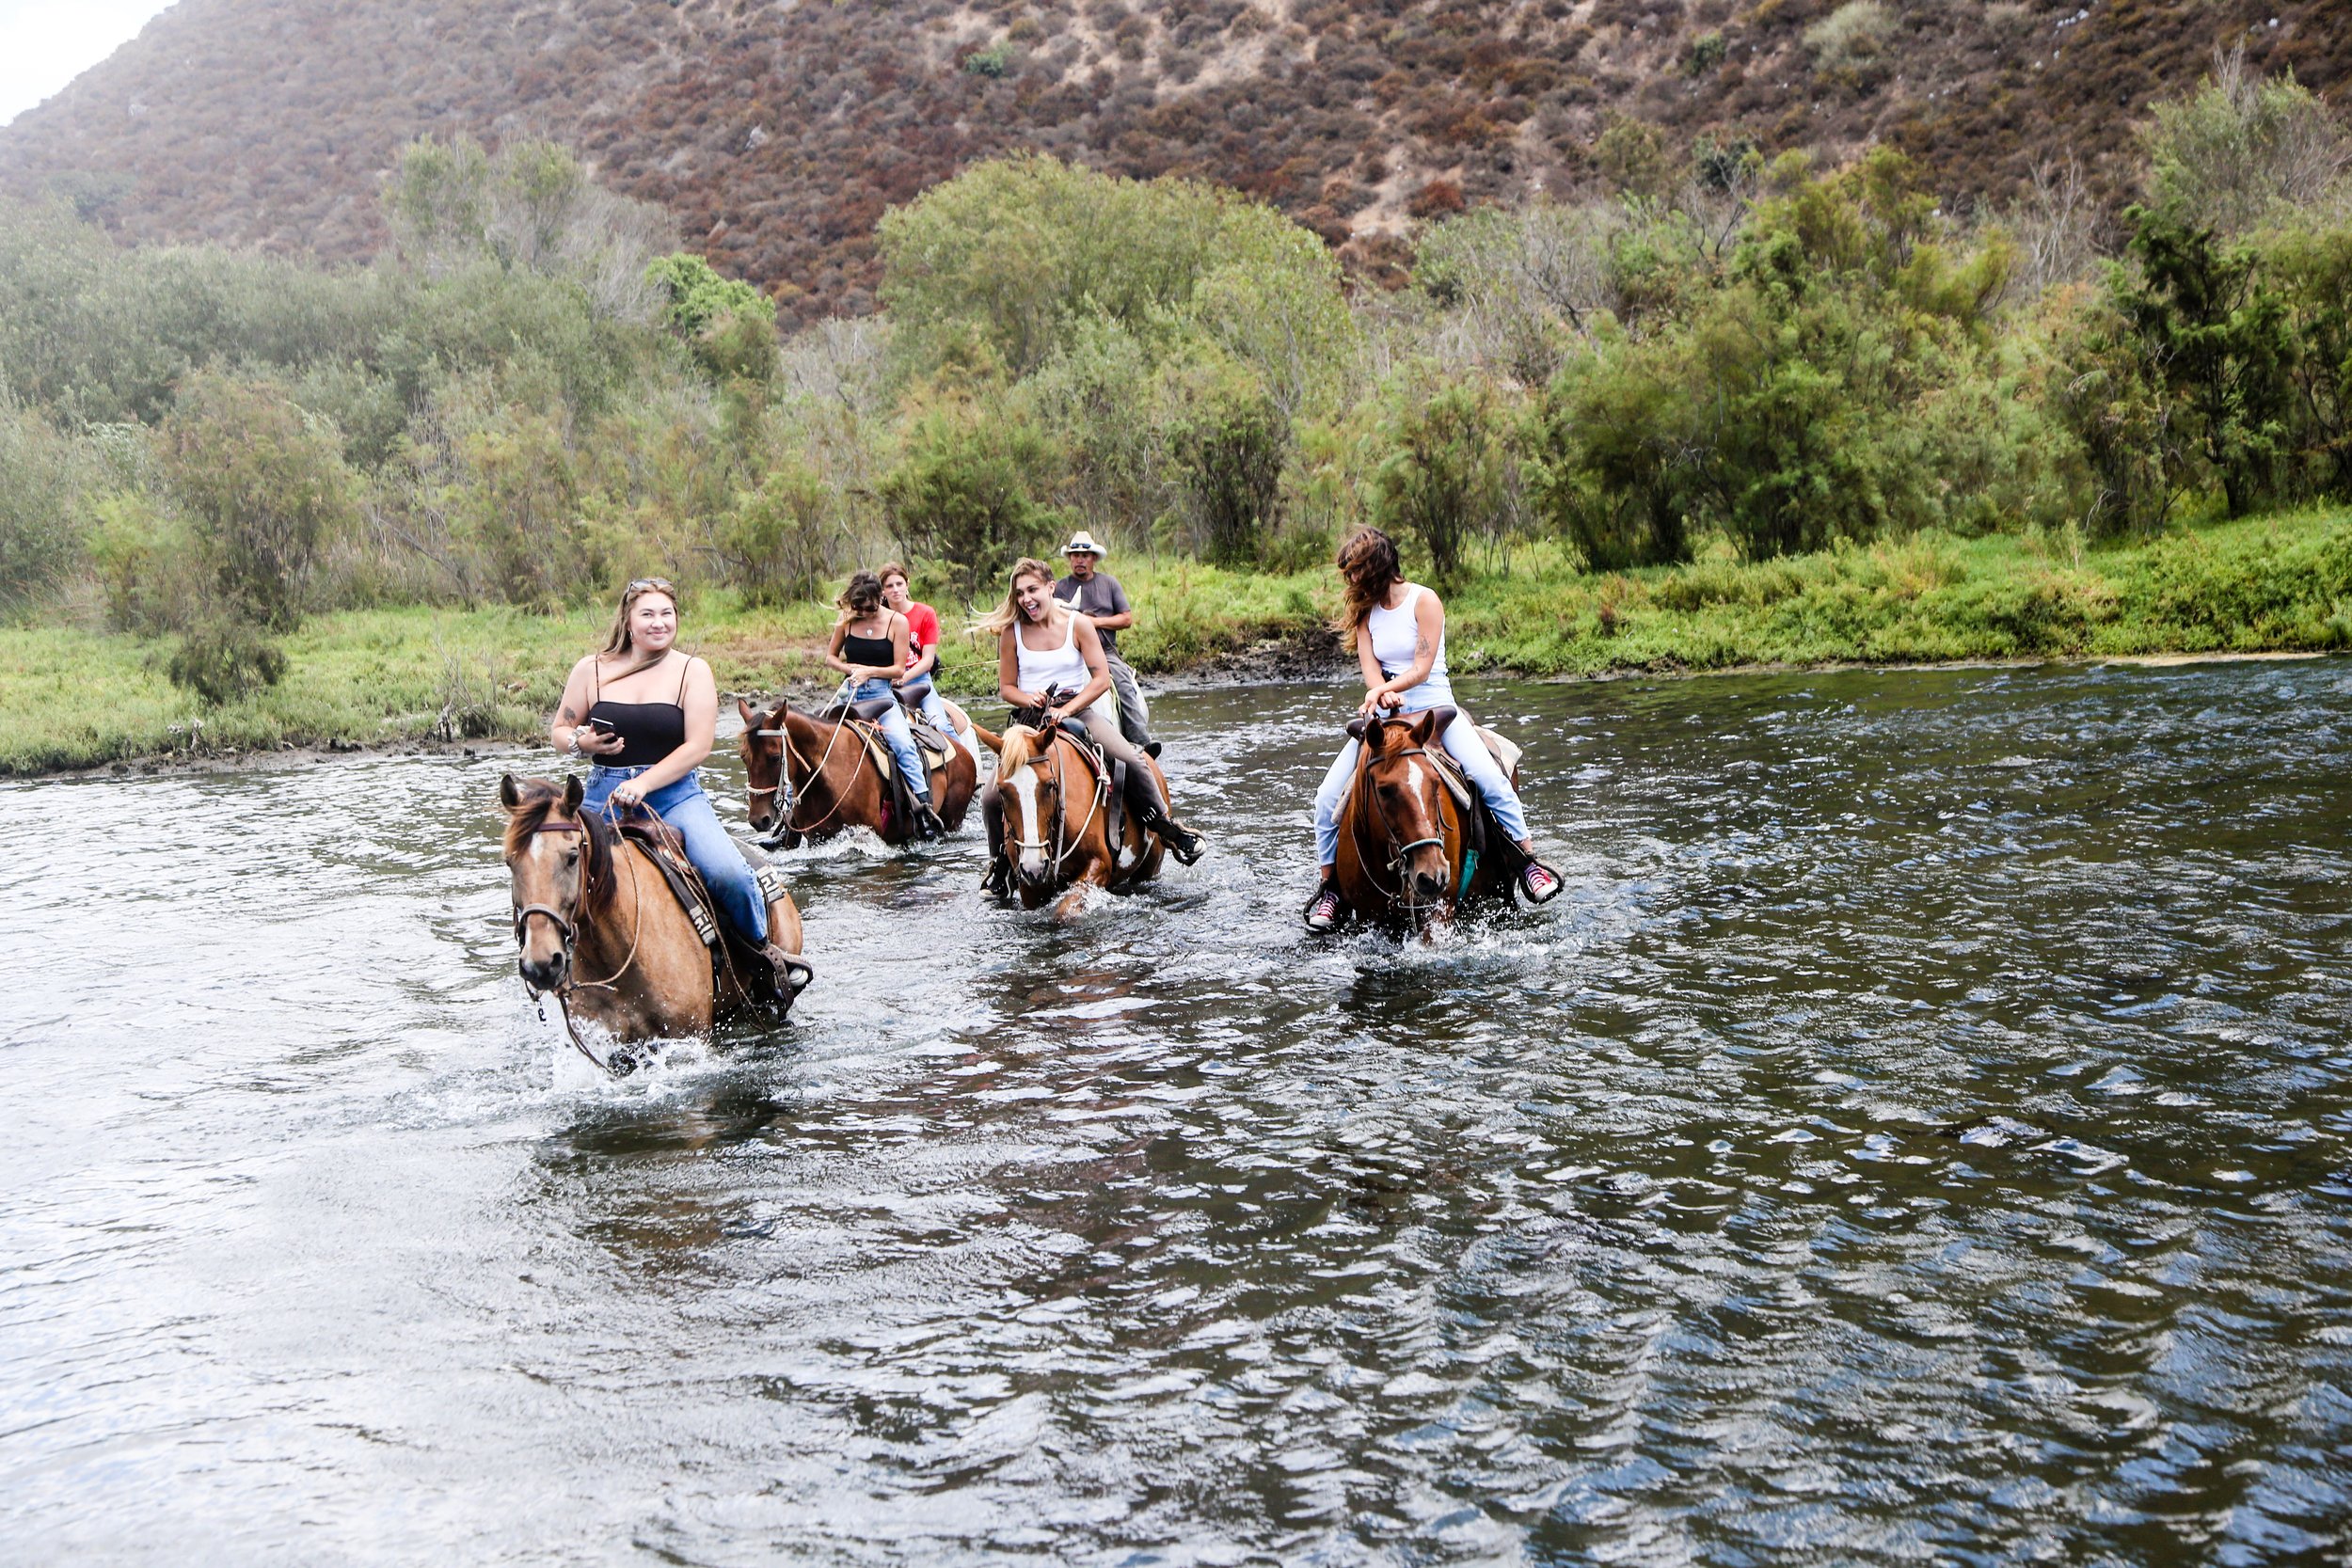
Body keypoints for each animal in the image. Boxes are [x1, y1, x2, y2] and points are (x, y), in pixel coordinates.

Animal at [739, 700, 988, 846]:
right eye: (743, 757)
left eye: (774, 757)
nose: (758, 819)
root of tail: (962, 750)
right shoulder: (817, 838)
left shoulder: (866, 833)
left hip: (954, 818)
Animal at [988, 723, 1171, 921]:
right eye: (1001, 790)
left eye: (1050, 785)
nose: (1034, 866)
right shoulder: (1030, 885)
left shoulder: (1100, 864)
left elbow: (1065, 910)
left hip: (1150, 867)